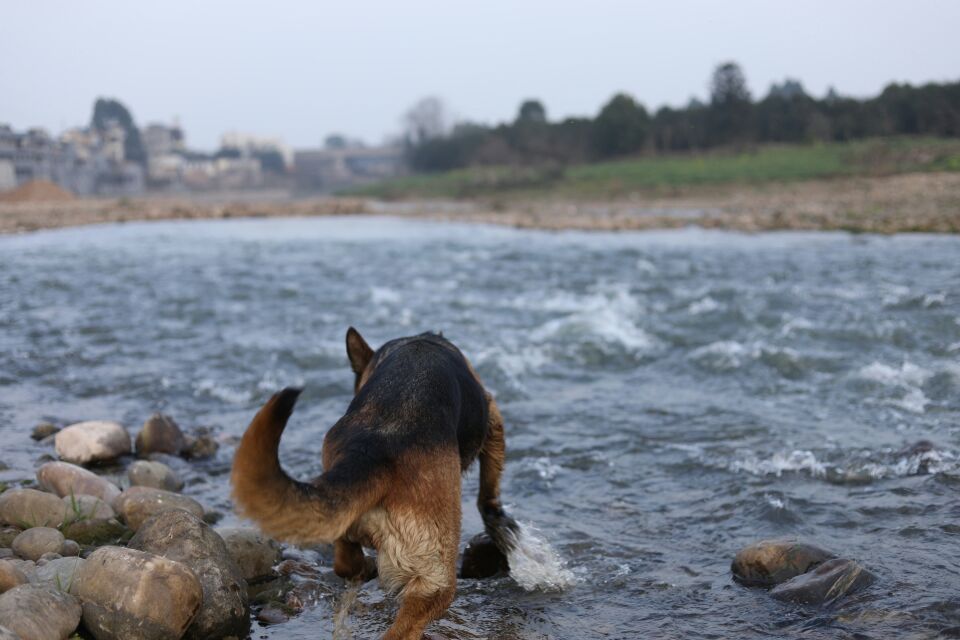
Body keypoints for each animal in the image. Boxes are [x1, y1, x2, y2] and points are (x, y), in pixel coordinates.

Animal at [231, 328, 516, 636]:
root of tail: (373, 450)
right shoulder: (493, 417)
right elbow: (490, 482)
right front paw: (493, 510)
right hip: (435, 579)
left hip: (340, 512)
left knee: (346, 562)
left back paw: (363, 568)